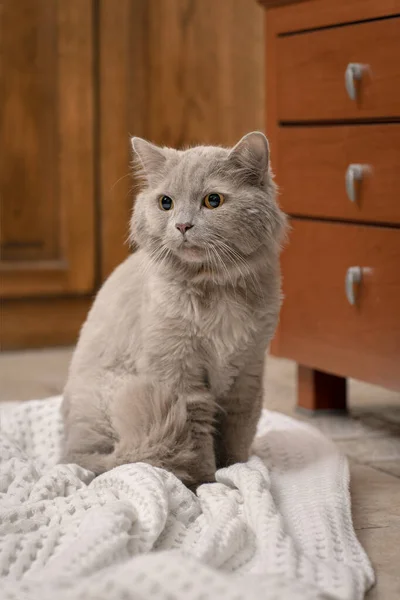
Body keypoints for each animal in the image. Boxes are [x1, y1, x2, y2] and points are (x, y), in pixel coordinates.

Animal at [61, 131, 286, 488]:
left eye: (213, 201)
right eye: (165, 202)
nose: (182, 226)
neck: (216, 291)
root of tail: (72, 450)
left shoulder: (247, 372)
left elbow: (238, 438)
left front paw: (241, 472)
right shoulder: (182, 379)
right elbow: (199, 445)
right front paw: (207, 486)